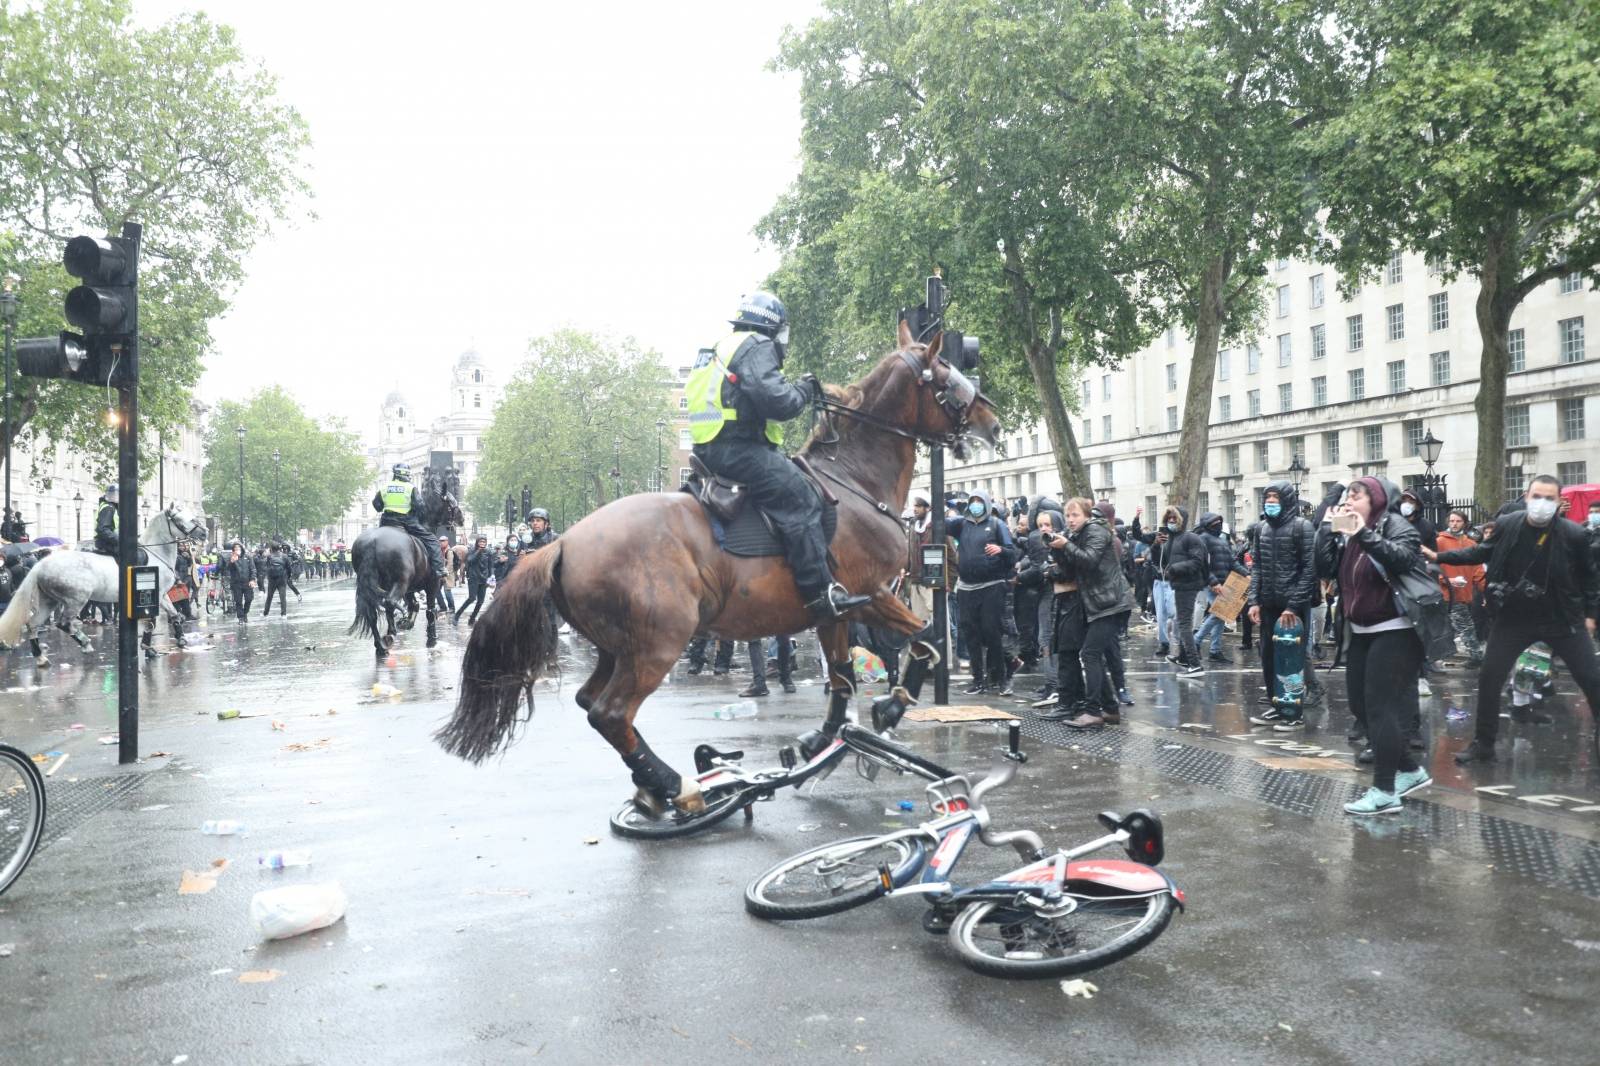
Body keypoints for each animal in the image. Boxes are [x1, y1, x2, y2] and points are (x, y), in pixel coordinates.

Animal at [0, 499, 206, 665]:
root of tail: (42, 564)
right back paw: (85, 644)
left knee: (32, 624)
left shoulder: (161, 595)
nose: (205, 533)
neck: (155, 554)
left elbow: (173, 615)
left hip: (48, 600)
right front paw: (151, 648)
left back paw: (41, 657)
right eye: (180, 518)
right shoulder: (155, 595)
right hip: (76, 599)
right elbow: (153, 621)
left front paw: (169, 643)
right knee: (63, 623)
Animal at [435, 323, 998, 813]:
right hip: (659, 641)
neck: (854, 480)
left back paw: (657, 785)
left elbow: (841, 677)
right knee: (611, 713)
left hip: (618, 646)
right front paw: (892, 705)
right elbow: (926, 635)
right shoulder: (870, 592)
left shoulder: (831, 609)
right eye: (946, 374)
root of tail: (565, 542)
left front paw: (820, 741)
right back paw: (675, 786)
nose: (992, 420)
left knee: (591, 702)